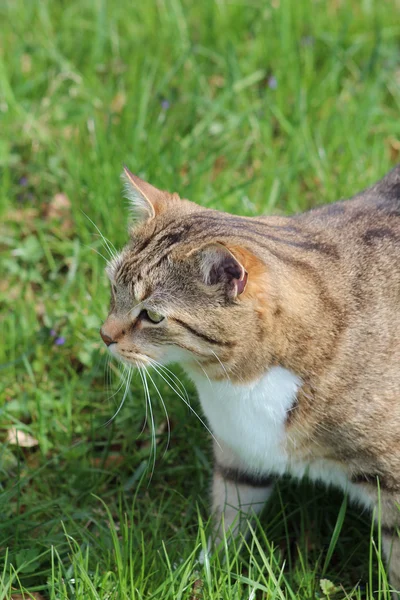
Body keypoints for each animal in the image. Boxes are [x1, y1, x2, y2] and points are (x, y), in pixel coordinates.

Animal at [100, 164, 400, 592]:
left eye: (153, 316)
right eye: (113, 287)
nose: (104, 336)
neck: (239, 380)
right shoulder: (239, 451)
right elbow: (230, 516)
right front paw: (206, 575)